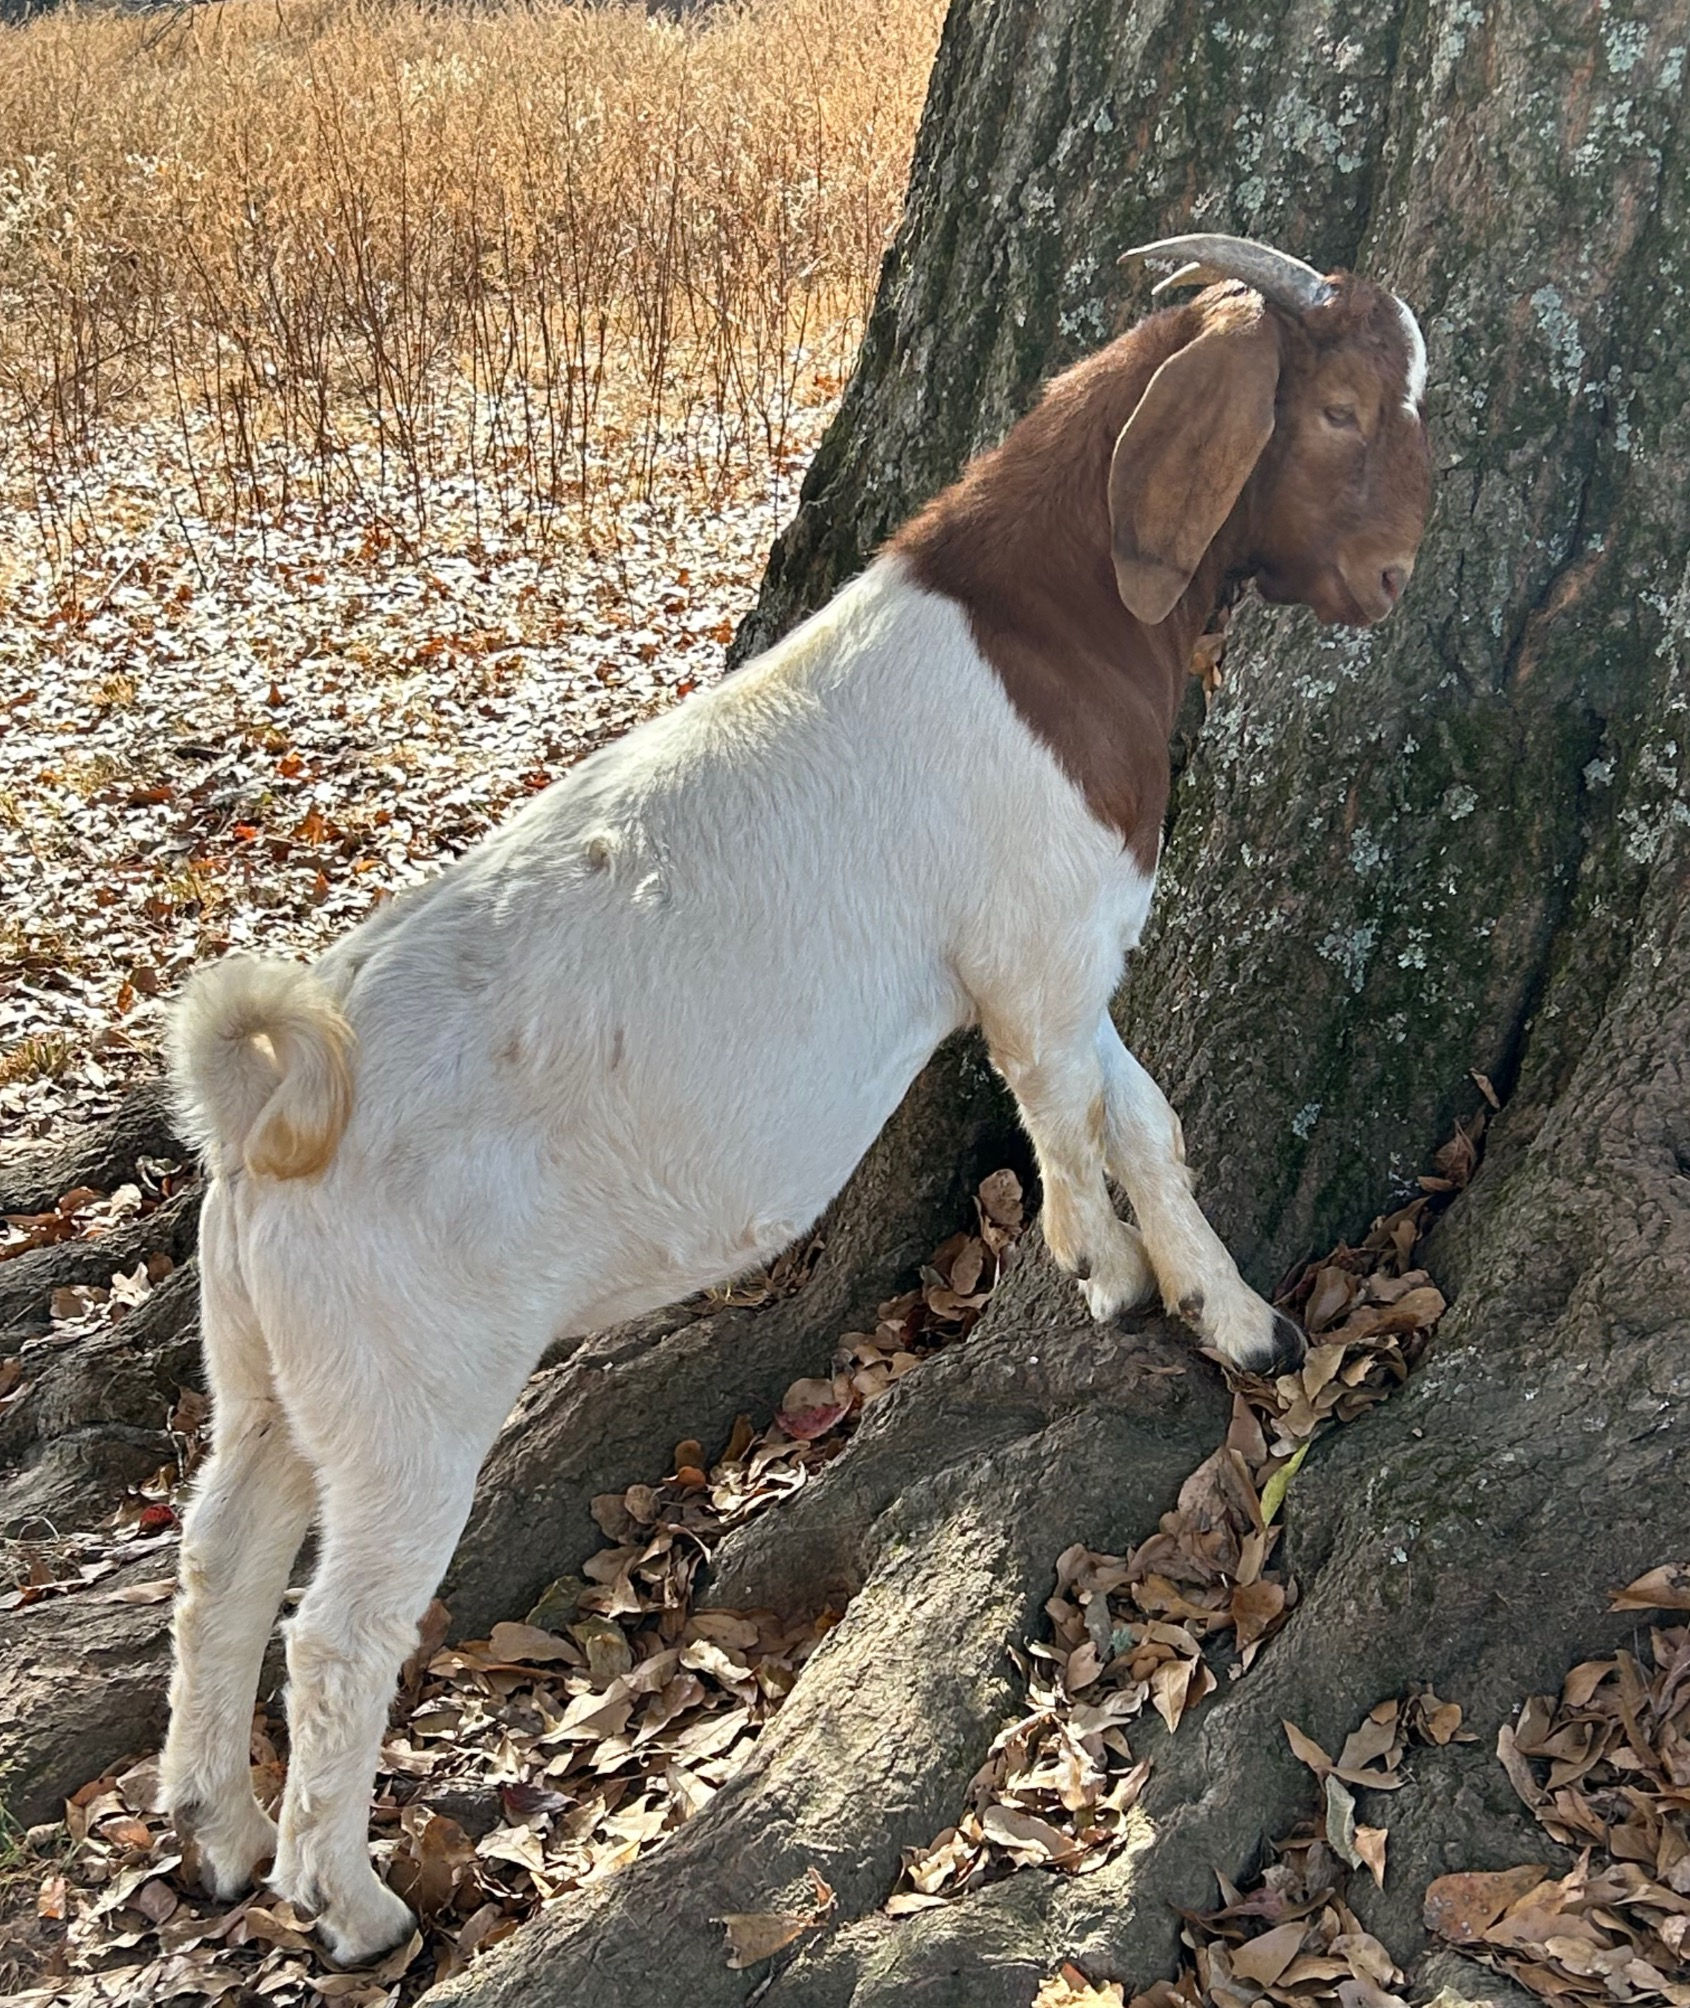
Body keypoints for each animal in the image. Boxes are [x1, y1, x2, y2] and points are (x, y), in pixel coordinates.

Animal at [160, 235, 1432, 1963]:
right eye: (1345, 409)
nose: (1397, 577)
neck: (1050, 620)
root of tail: (265, 1127)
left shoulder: (1059, 960)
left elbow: (1134, 1122)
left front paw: (1213, 1313)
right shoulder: (1040, 946)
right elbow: (1078, 1111)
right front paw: (1133, 1285)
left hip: (271, 1364)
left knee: (221, 1555)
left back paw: (217, 1834)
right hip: (404, 1389)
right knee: (334, 1634)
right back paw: (347, 1905)